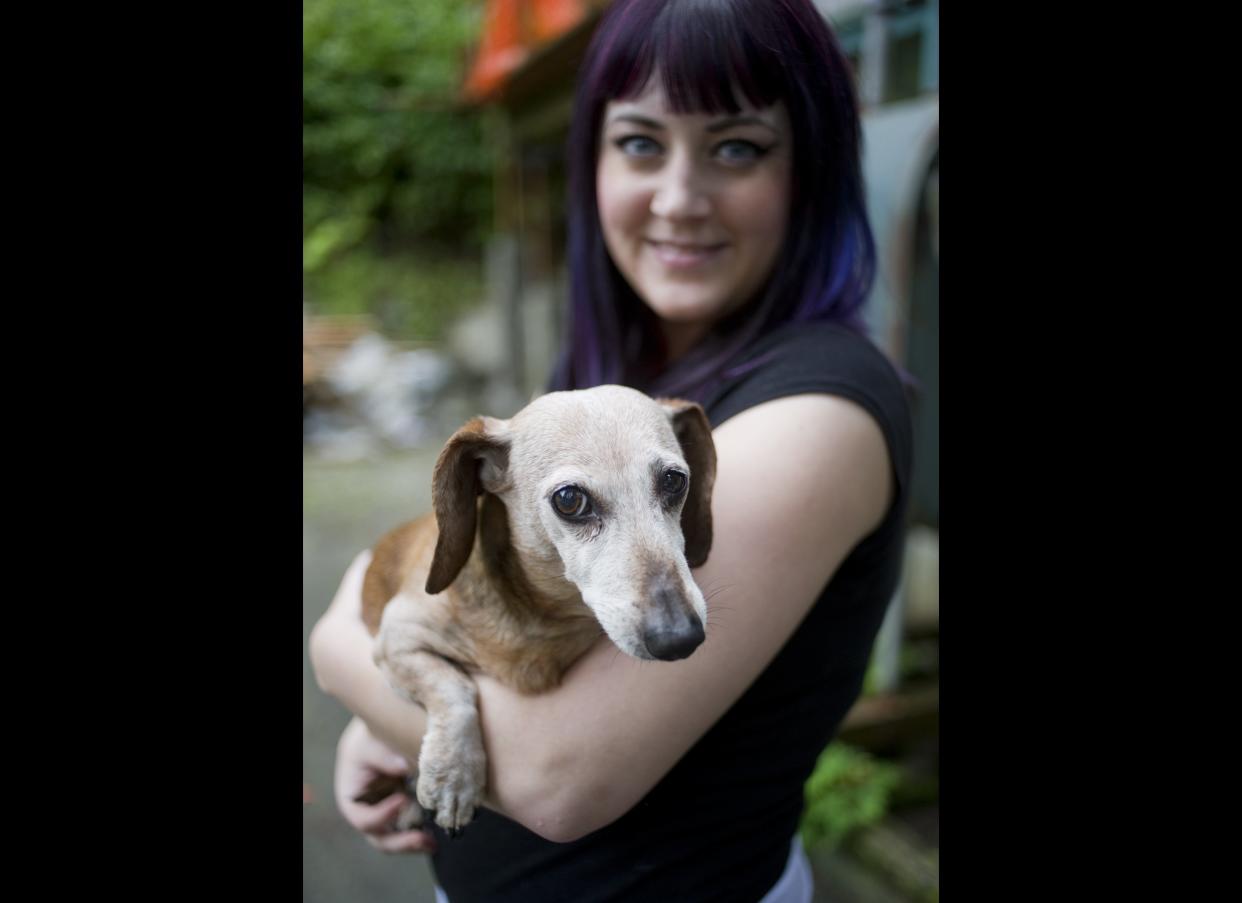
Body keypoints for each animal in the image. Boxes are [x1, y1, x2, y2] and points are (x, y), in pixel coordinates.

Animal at [355, 385, 715, 834]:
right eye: (570, 500)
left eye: (674, 481)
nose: (680, 637)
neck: (540, 620)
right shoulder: (396, 640)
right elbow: (455, 689)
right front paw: (455, 775)